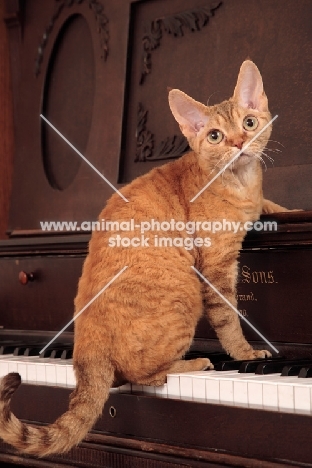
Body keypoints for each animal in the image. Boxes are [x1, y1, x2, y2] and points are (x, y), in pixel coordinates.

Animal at [0, 60, 290, 456]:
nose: (239, 143)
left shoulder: (256, 204)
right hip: (186, 293)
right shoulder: (216, 268)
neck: (242, 183)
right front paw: (245, 354)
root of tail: (85, 350)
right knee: (145, 376)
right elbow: (229, 319)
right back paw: (197, 362)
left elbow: (273, 205)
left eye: (248, 122)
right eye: (215, 136)